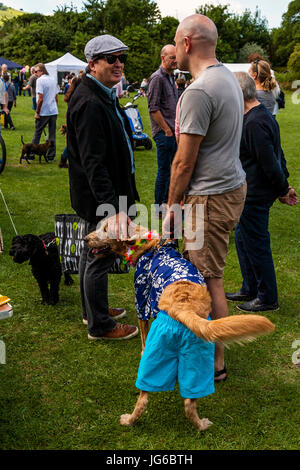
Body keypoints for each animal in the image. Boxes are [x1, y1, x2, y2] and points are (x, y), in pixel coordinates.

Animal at [86, 222, 274, 432]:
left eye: (105, 229)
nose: (85, 239)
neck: (147, 245)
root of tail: (183, 305)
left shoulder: (141, 303)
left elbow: (143, 337)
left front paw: (141, 350)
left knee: (143, 399)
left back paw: (128, 420)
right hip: (195, 360)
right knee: (189, 403)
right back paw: (201, 425)